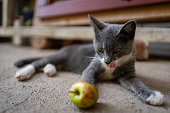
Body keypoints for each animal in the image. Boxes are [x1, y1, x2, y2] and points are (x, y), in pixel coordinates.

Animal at [15, 14, 164, 106]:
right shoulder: (93, 65)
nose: (107, 61)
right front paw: (85, 90)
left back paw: (49, 70)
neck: (111, 68)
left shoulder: (128, 74)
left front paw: (152, 95)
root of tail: (64, 48)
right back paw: (23, 72)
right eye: (100, 50)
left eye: (117, 50)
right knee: (38, 62)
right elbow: (87, 76)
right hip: (60, 56)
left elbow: (137, 83)